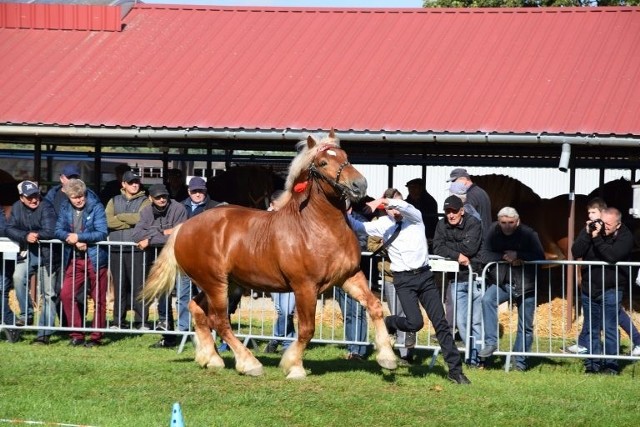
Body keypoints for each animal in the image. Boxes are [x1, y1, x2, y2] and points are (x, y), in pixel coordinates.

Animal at [142, 132, 398, 380]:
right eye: (323, 162)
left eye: (346, 156)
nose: (359, 185)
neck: (317, 227)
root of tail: (184, 227)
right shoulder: (305, 287)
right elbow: (307, 329)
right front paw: (294, 367)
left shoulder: (349, 277)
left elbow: (375, 306)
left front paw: (387, 357)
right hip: (215, 283)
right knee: (220, 321)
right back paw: (249, 364)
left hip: (223, 284)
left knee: (197, 309)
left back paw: (211, 359)